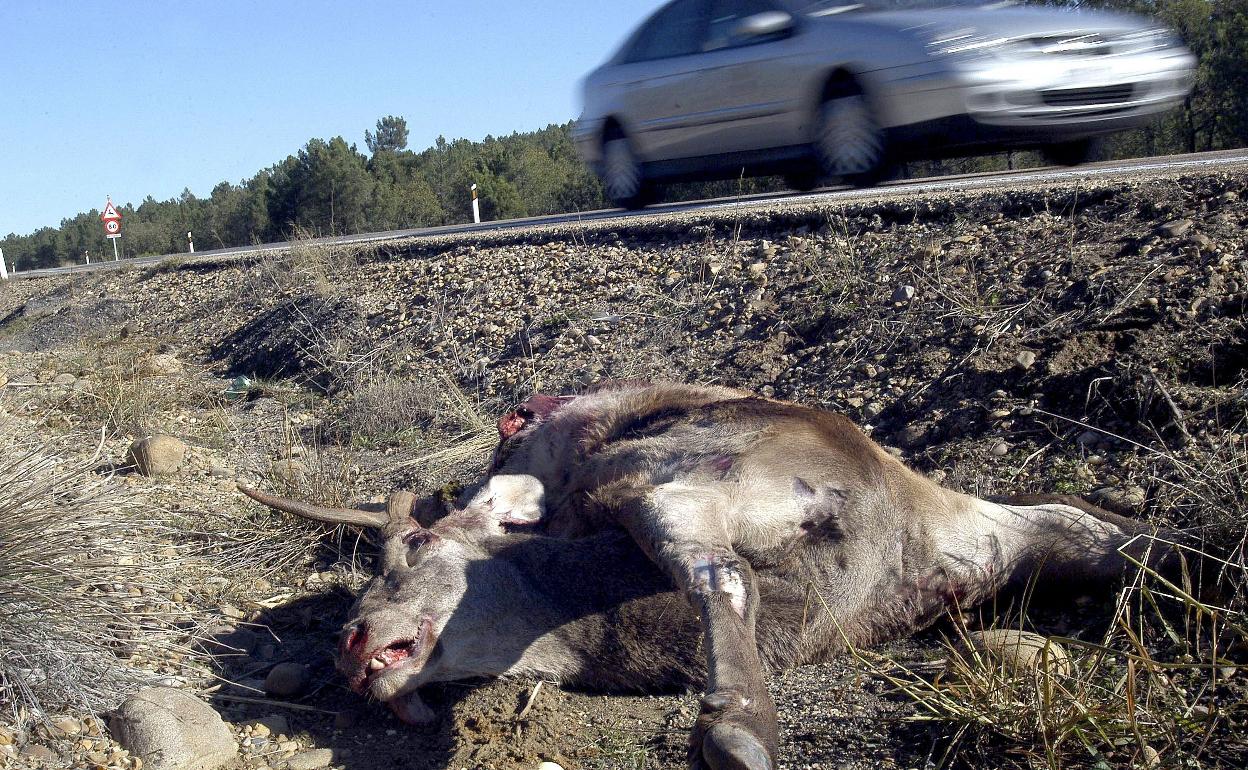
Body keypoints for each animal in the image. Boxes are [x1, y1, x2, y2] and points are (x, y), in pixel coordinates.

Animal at [241, 380, 1181, 770]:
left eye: (412, 547)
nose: (350, 642)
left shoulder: (686, 482)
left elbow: (719, 575)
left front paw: (739, 730)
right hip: (970, 534)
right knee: (1087, 528)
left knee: (1083, 526)